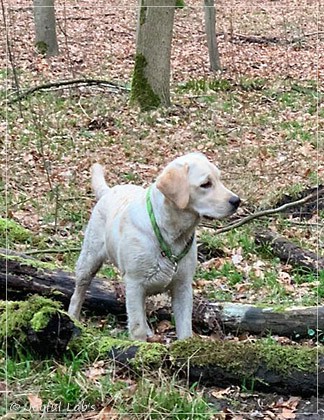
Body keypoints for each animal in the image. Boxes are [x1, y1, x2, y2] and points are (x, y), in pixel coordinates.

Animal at [67, 153, 240, 340]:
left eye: (219, 179)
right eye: (205, 184)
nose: (237, 201)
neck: (171, 233)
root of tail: (109, 191)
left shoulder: (183, 286)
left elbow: (185, 329)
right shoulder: (134, 284)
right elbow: (137, 328)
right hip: (88, 261)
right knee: (78, 293)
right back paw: (73, 319)